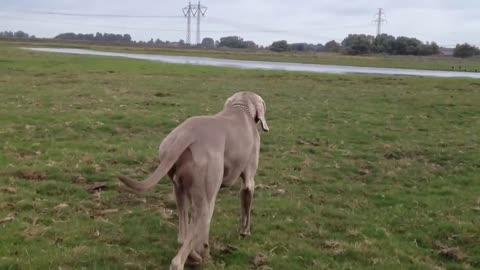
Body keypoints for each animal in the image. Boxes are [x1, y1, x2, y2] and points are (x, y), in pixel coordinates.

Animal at [117, 91, 268, 270]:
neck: (241, 108)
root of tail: (186, 134)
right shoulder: (248, 182)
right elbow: (246, 209)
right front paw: (245, 233)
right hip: (206, 200)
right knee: (181, 255)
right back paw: (197, 256)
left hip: (179, 189)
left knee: (183, 237)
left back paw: (195, 255)